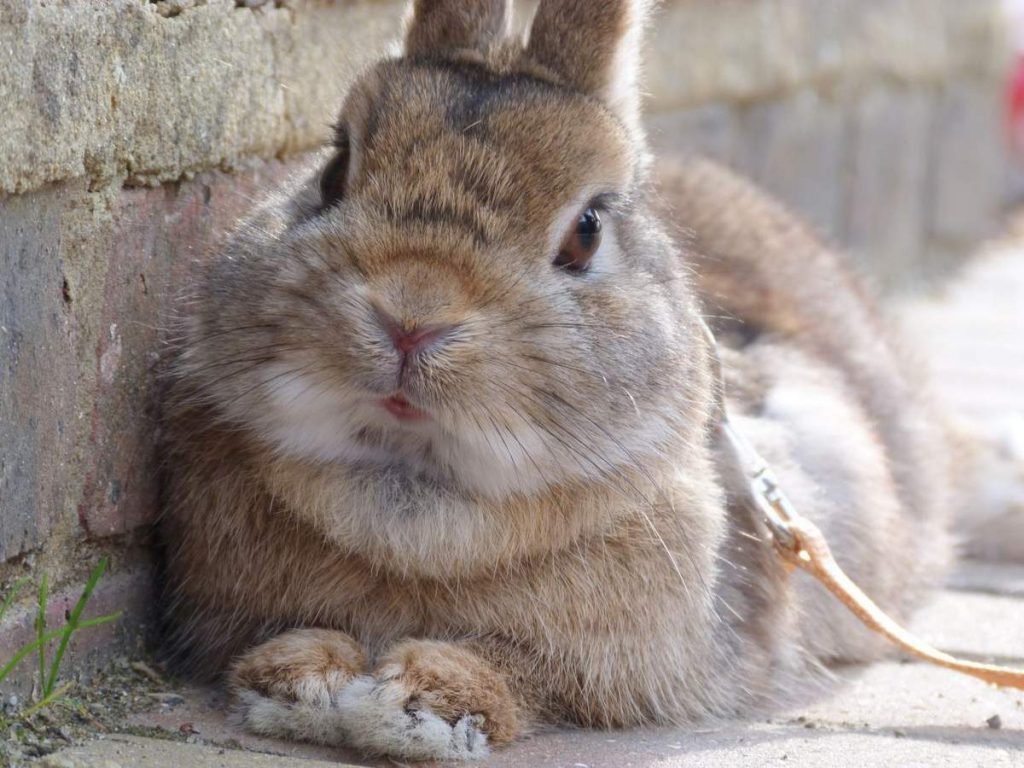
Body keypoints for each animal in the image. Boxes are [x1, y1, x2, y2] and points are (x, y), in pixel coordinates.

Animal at [159, 0, 950, 757]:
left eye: (587, 231)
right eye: (333, 172)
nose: (411, 317)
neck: (412, 502)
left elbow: (536, 672)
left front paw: (424, 698)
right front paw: (301, 677)